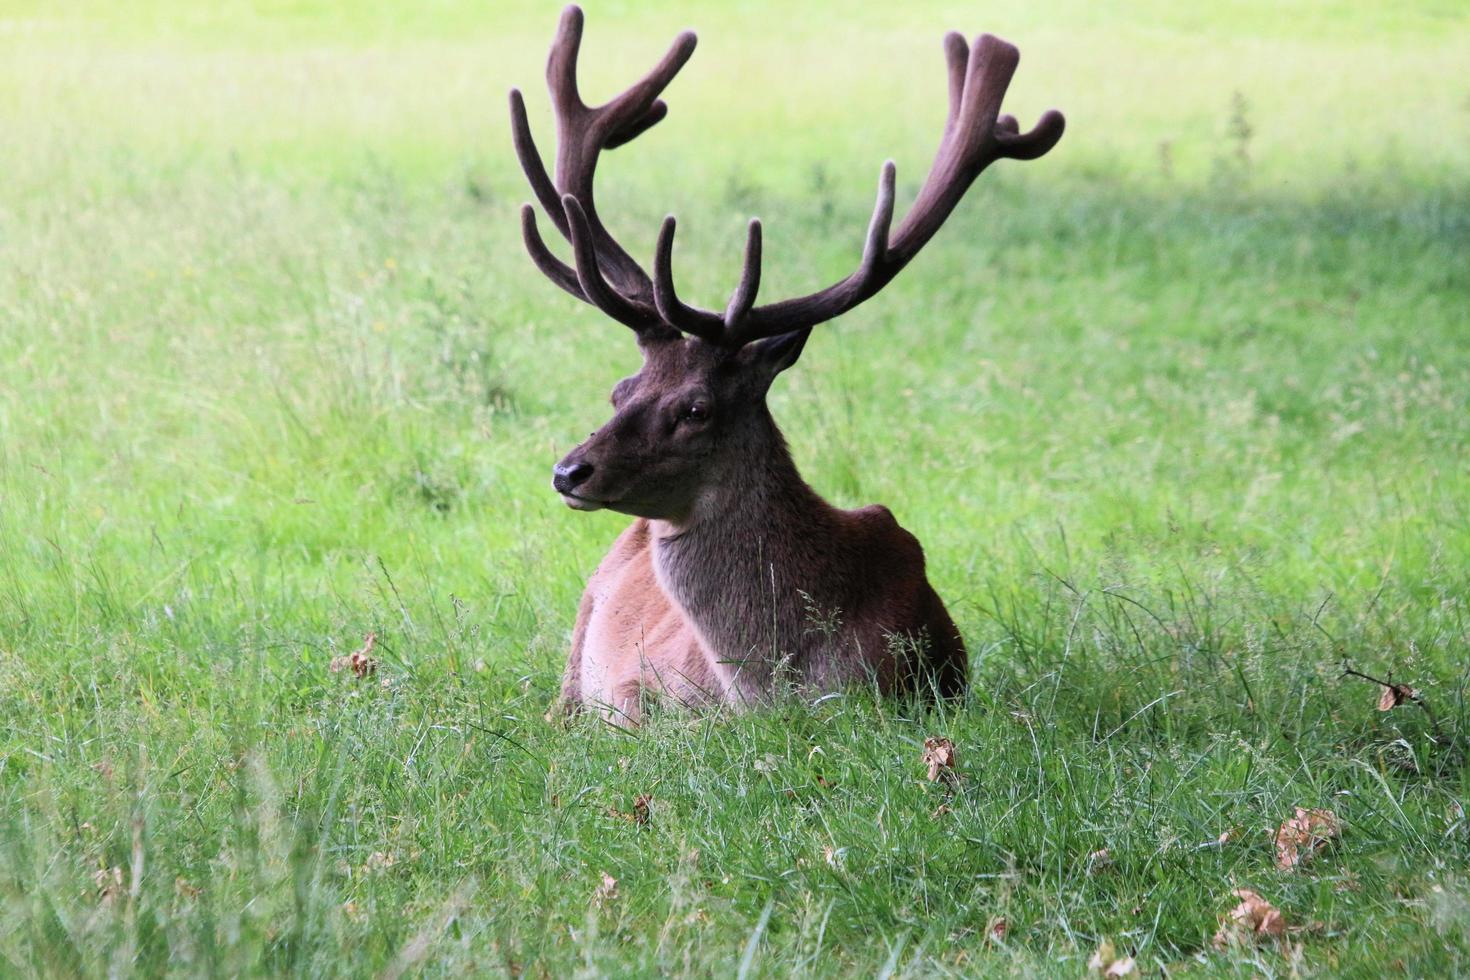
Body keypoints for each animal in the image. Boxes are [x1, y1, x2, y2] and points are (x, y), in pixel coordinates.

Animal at [511, 3, 1064, 725]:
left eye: (696, 408)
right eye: (620, 389)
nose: (569, 470)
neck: (770, 690)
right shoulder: (636, 684)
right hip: (580, 632)